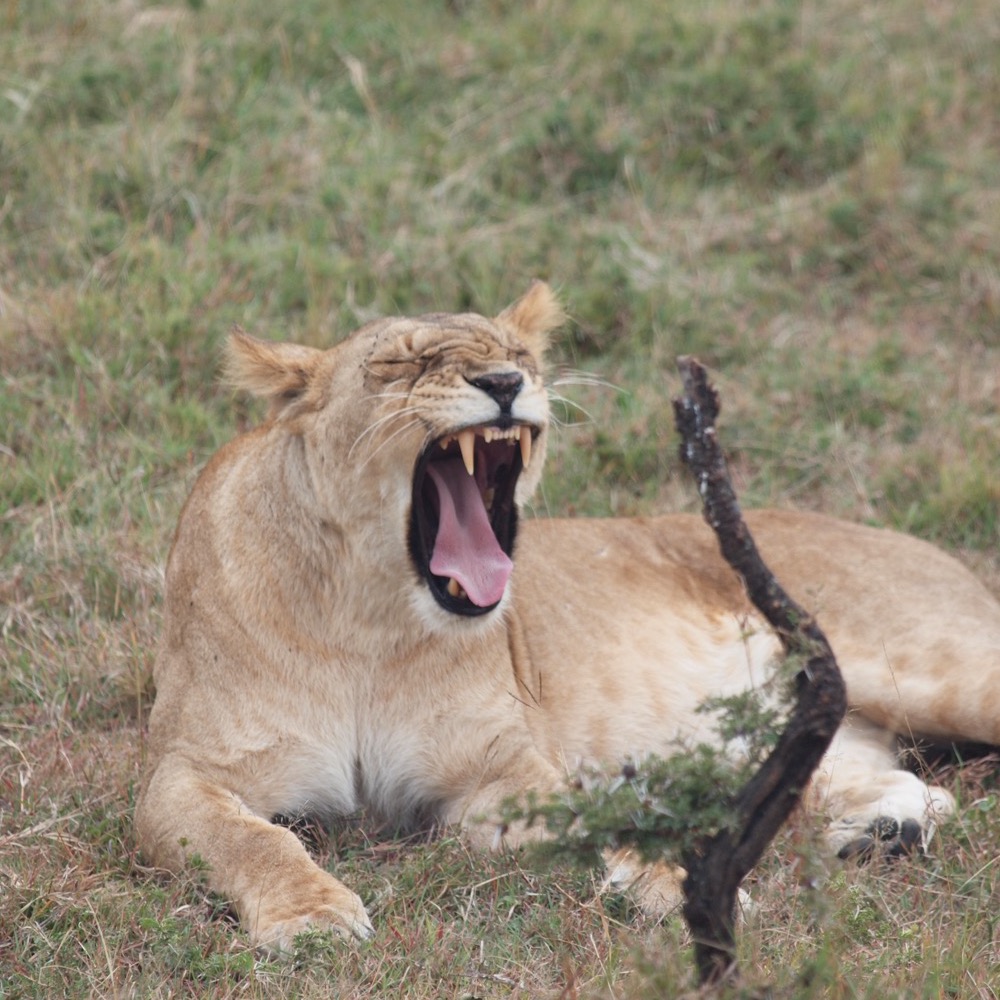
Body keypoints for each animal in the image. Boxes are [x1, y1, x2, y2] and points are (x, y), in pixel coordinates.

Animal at [135, 282, 1000, 952]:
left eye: (520, 351)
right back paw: (885, 831)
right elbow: (253, 838)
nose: (505, 381)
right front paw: (311, 917)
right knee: (902, 780)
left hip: (940, 670)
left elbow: (590, 824)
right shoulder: (182, 774)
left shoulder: (501, 771)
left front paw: (671, 889)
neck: (370, 619)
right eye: (402, 364)